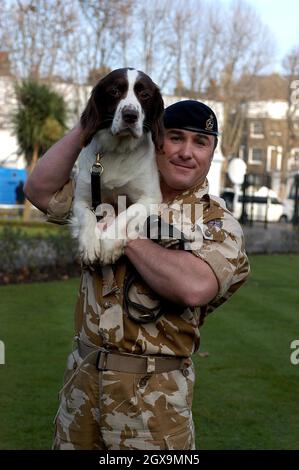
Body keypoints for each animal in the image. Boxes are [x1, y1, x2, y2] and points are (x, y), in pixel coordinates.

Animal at [71, 66, 165, 266]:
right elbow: (87, 216)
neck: (118, 150)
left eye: (145, 94)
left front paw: (109, 243)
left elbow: (126, 213)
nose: (130, 115)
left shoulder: (151, 197)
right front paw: (89, 244)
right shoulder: (81, 199)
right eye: (114, 91)